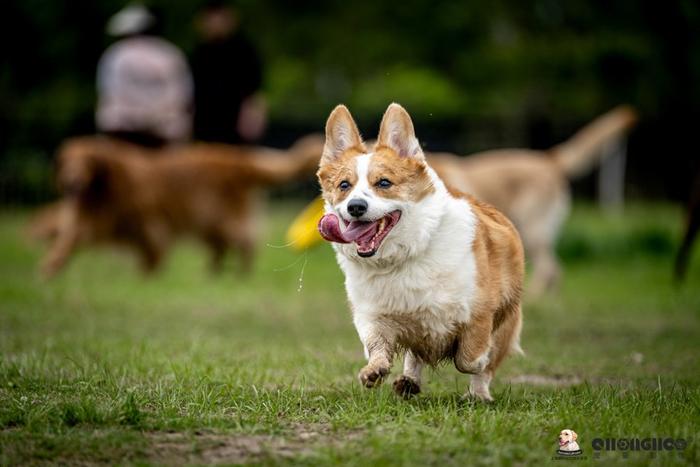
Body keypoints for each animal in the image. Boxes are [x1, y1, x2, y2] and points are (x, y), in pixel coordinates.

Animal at [37, 133, 322, 276]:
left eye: (85, 161)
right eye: (67, 161)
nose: (71, 181)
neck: (102, 190)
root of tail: (237, 158)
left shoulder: (148, 220)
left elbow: (152, 248)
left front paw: (148, 272)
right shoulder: (86, 221)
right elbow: (66, 243)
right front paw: (51, 267)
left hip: (221, 218)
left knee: (245, 241)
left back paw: (242, 271)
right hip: (209, 222)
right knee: (222, 247)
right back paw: (212, 271)